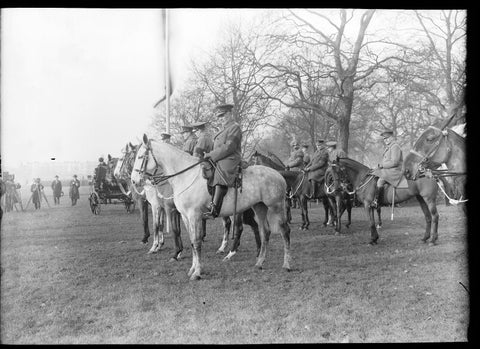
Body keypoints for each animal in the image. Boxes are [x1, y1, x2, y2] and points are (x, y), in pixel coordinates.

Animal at [130, 133, 292, 280]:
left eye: (140, 157)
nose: (133, 181)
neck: (185, 176)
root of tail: (279, 175)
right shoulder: (185, 216)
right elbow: (191, 241)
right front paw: (192, 268)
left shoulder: (193, 215)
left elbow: (196, 242)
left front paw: (196, 272)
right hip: (259, 208)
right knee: (265, 232)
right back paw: (259, 262)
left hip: (276, 207)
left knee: (284, 231)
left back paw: (286, 265)